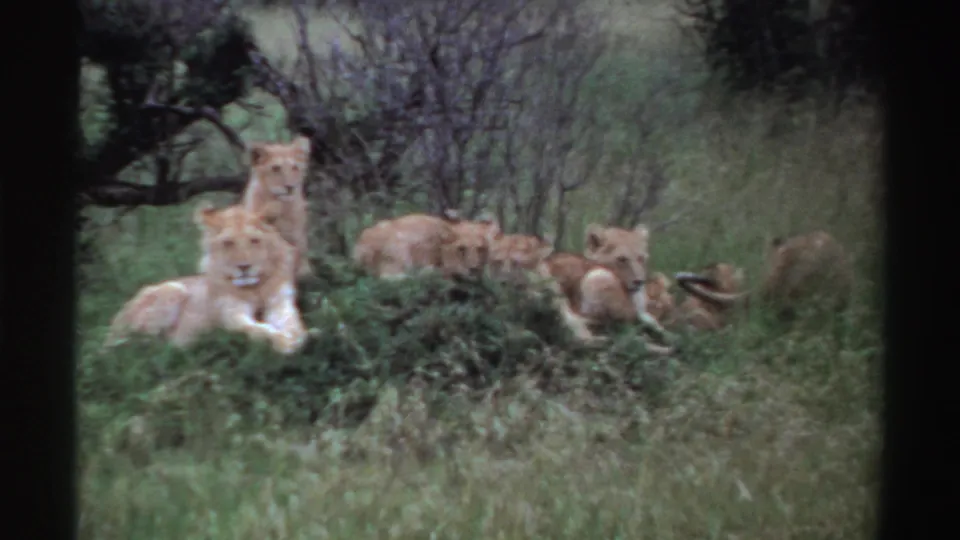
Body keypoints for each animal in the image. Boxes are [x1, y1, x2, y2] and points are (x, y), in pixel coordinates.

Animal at [104, 202, 309, 355]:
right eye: (228, 243)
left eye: (254, 241)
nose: (244, 267)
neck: (254, 289)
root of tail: (113, 325)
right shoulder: (230, 315)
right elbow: (257, 330)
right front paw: (283, 342)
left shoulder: (281, 304)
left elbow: (293, 324)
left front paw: (298, 337)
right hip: (173, 289)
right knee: (138, 346)